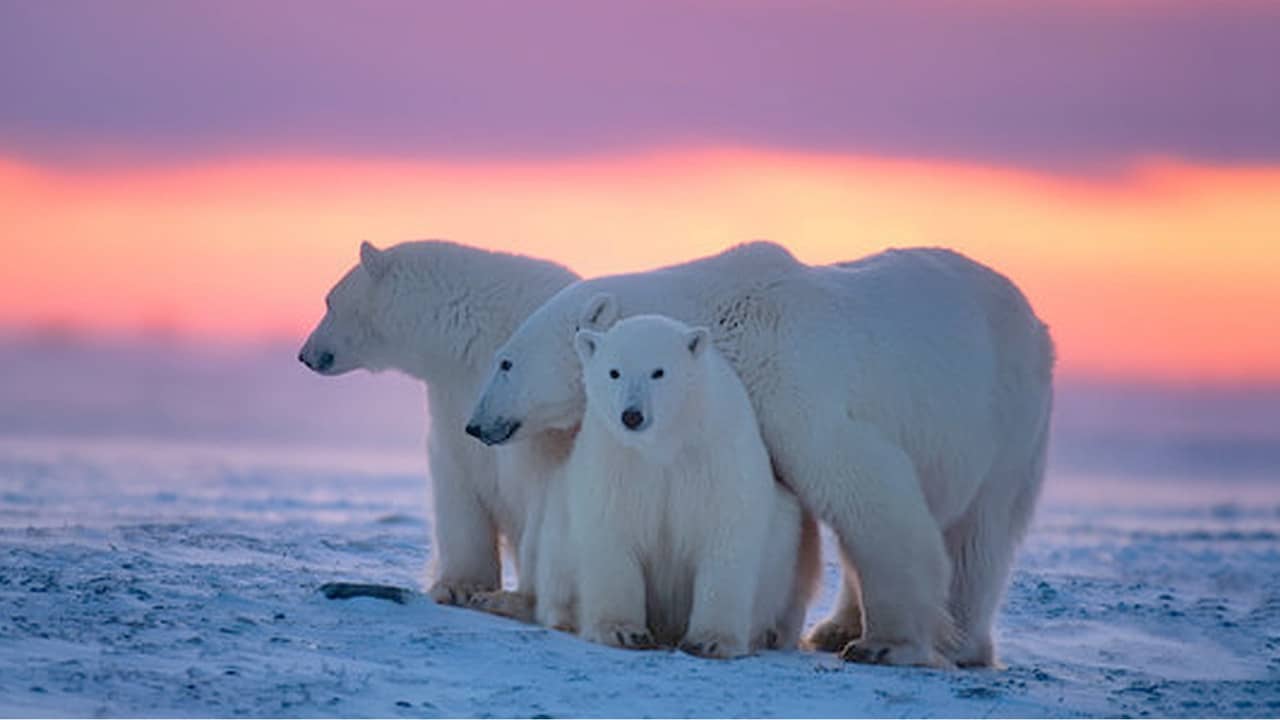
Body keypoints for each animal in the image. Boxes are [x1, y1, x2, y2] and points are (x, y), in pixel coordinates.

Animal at [298, 239, 579, 605]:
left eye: (329, 302)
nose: (304, 354)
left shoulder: (540, 407)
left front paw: (516, 598)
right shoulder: (454, 394)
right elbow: (457, 479)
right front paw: (459, 586)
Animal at [561, 314, 819, 658]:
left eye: (658, 371)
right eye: (614, 372)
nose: (632, 415)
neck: (665, 445)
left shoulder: (715, 455)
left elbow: (725, 533)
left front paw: (710, 641)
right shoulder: (617, 459)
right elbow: (613, 529)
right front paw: (622, 631)